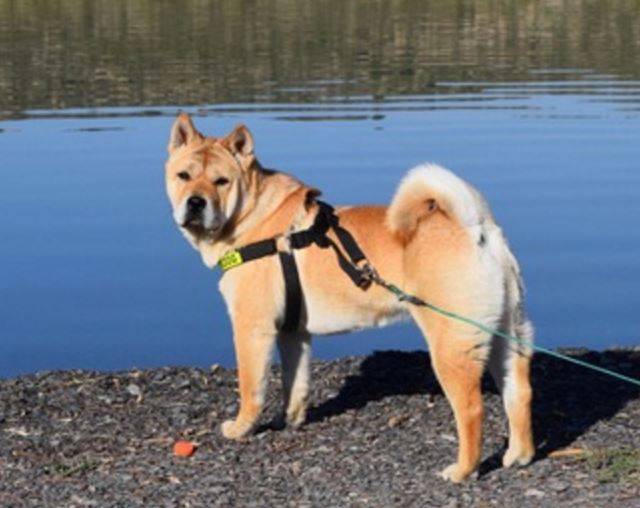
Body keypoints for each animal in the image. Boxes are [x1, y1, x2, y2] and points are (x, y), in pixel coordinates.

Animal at [164, 113, 536, 482]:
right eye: (184, 176)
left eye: (222, 181)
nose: (195, 202)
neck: (254, 216)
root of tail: (476, 227)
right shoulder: (293, 334)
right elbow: (294, 383)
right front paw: (290, 420)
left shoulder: (251, 328)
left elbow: (251, 387)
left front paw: (241, 428)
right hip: (505, 334)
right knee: (519, 391)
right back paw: (518, 455)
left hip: (452, 345)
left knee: (471, 409)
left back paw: (462, 470)